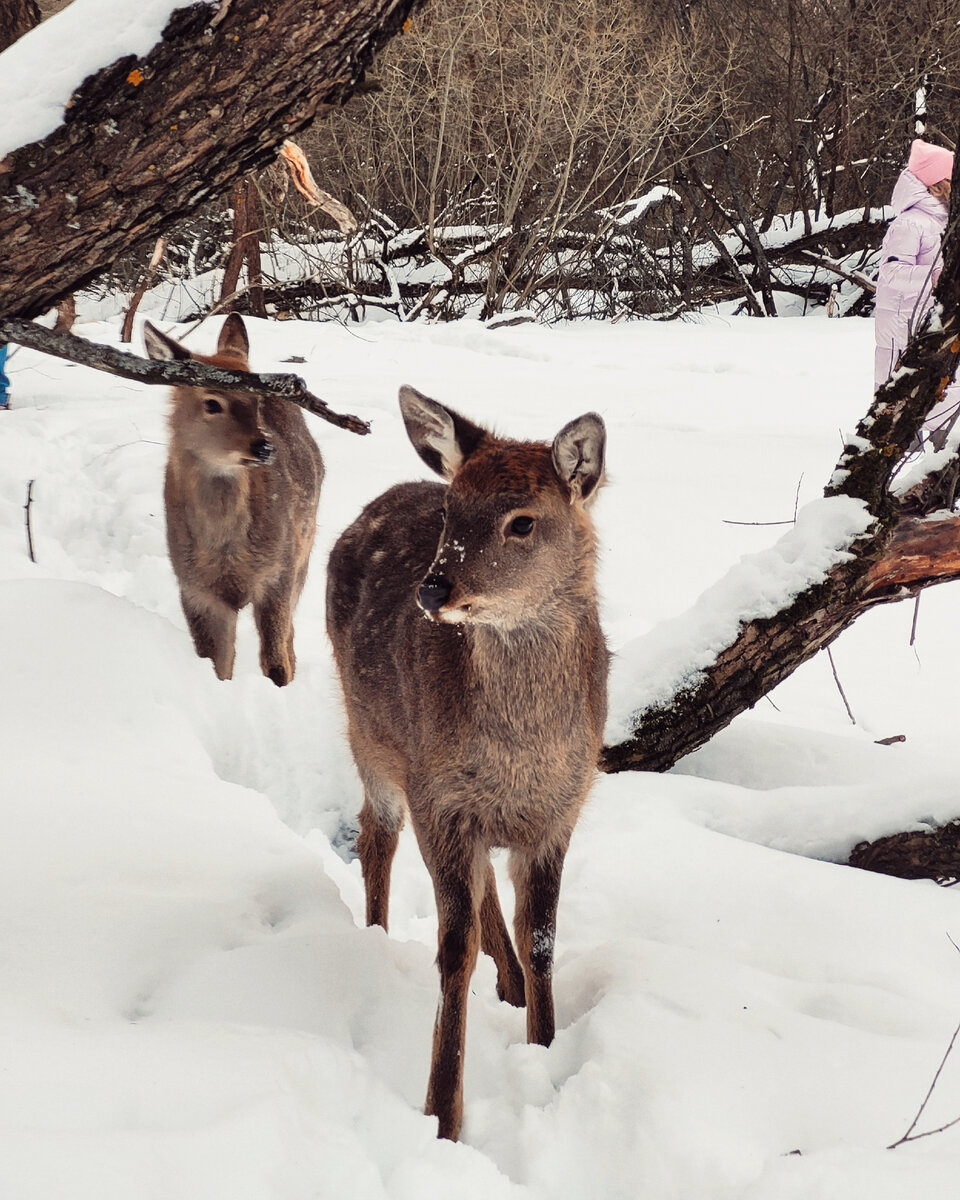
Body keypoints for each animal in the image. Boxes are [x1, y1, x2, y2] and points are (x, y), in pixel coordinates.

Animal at [142, 312, 321, 686]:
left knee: (290, 636)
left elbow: (276, 661)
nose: (263, 446)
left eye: (257, 401)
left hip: (305, 549)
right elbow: (217, 664)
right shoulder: (195, 588)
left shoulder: (279, 572)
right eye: (212, 402)